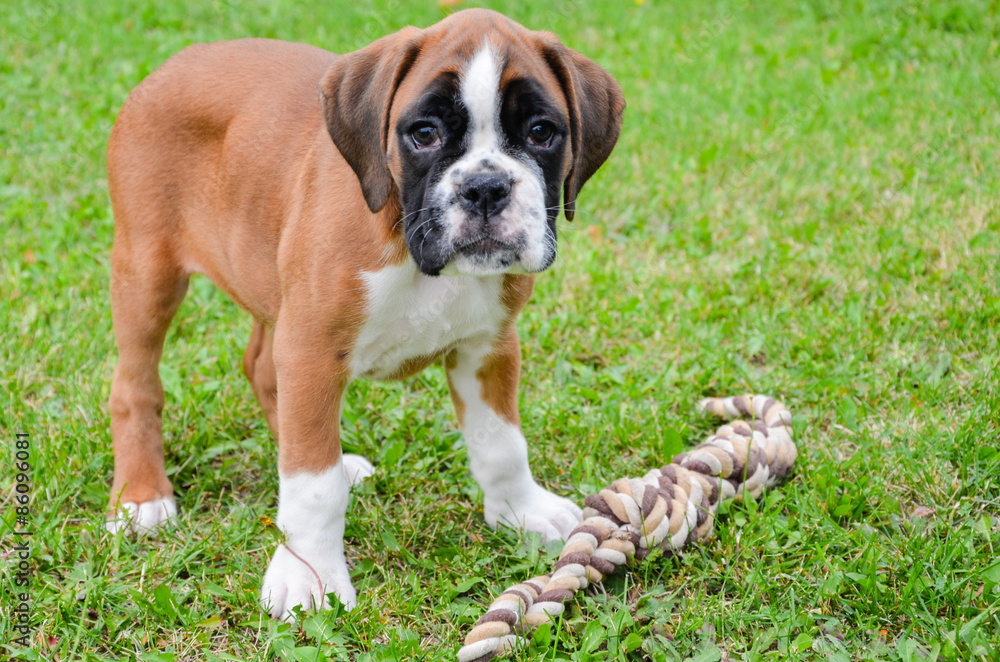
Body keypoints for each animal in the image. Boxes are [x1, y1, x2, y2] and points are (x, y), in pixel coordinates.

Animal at [107, 7, 624, 624]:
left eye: (541, 132)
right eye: (423, 133)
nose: (485, 187)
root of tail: (173, 64)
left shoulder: (488, 345)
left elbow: (501, 443)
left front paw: (522, 510)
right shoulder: (311, 350)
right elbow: (312, 485)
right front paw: (310, 575)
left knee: (262, 368)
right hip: (149, 272)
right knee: (136, 385)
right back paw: (143, 496)